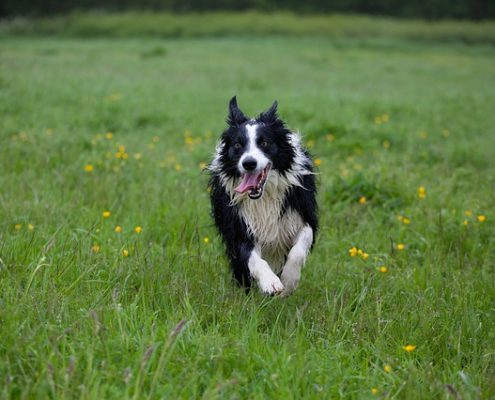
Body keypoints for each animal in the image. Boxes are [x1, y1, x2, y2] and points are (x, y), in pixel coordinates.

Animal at [208, 97, 318, 296]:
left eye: (264, 143)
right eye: (237, 145)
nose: (249, 163)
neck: (264, 197)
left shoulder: (305, 216)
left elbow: (299, 249)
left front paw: (289, 281)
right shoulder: (239, 225)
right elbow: (252, 257)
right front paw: (270, 282)